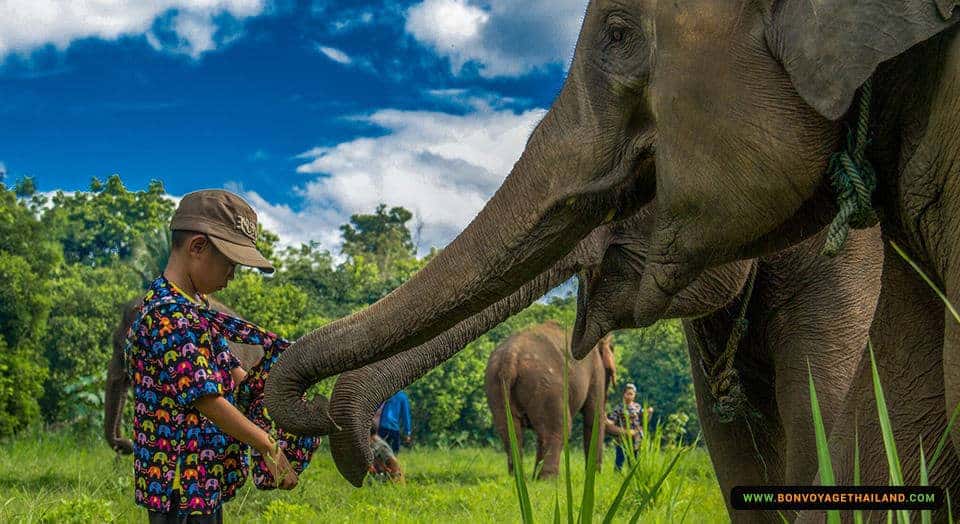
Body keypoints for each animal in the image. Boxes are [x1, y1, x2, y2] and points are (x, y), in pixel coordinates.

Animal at [488, 320, 616, 478]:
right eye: (610, 372)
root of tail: (510, 356)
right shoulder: (596, 370)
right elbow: (593, 418)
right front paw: (594, 476)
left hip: (496, 385)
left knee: (510, 430)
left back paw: (519, 477)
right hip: (547, 386)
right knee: (558, 427)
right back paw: (547, 479)